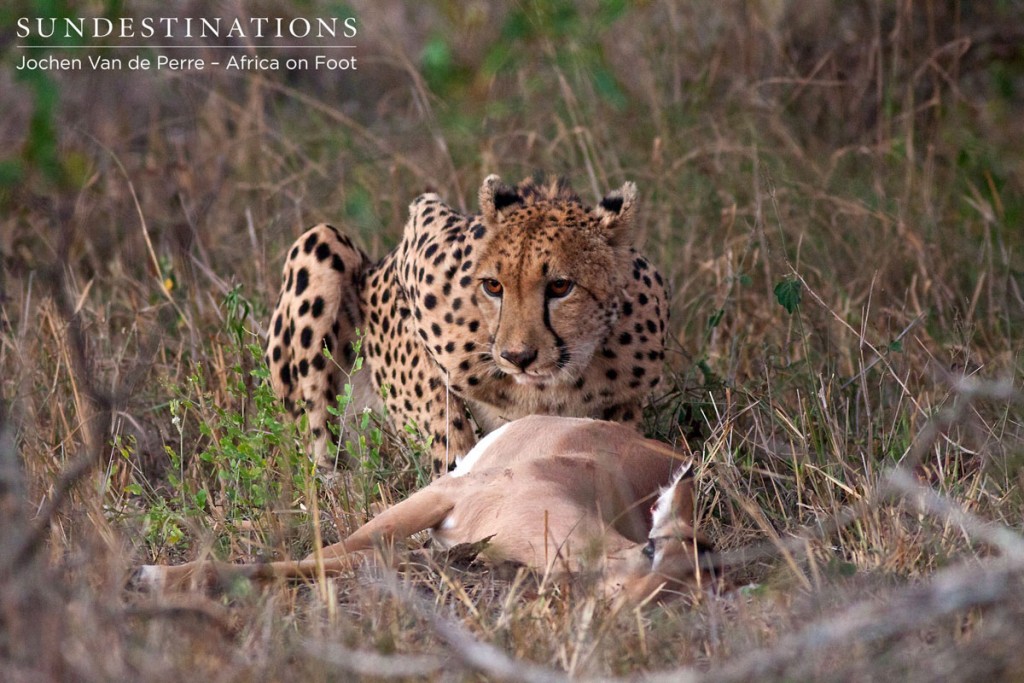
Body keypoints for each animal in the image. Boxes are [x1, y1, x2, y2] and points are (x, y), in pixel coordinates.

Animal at [268, 176, 667, 473]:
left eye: (560, 286)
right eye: (493, 285)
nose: (517, 357)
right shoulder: (418, 237)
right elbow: (441, 405)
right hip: (320, 242)